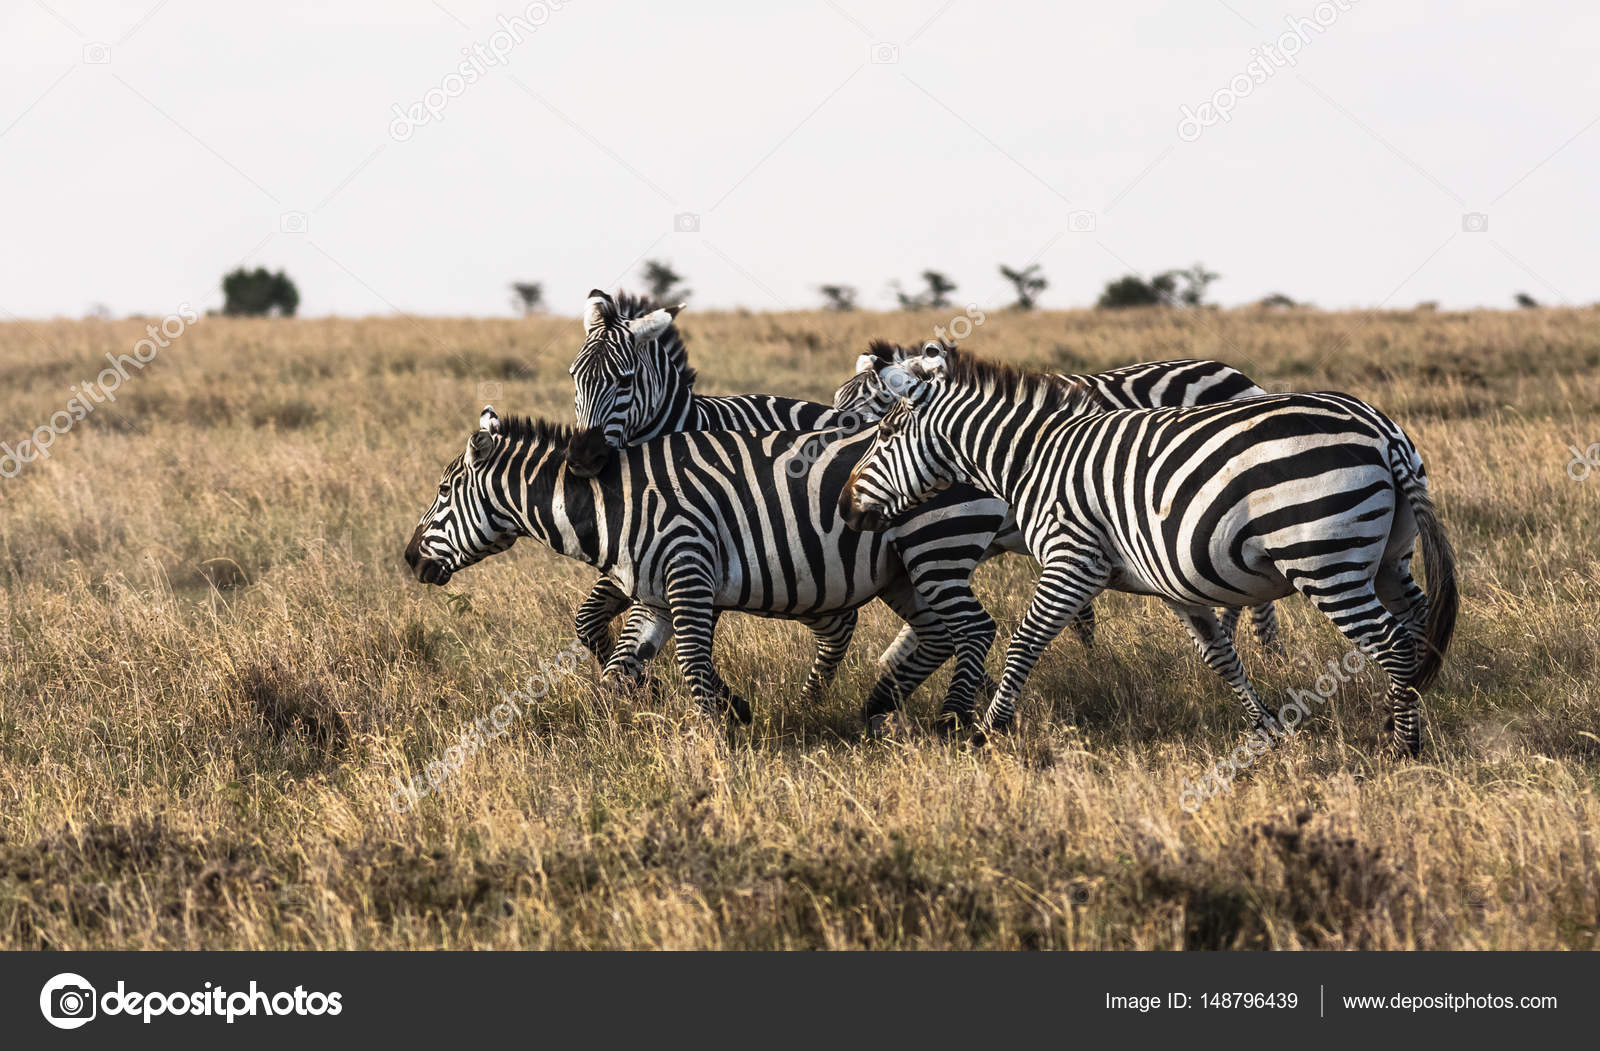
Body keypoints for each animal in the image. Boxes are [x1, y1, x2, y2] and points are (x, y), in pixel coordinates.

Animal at [404, 408, 968, 725]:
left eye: (442, 490)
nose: (408, 559)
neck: (616, 504)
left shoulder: (689, 570)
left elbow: (691, 663)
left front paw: (715, 740)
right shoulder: (656, 590)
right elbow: (619, 667)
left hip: (937, 543)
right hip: (902, 572)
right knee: (937, 634)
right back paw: (880, 708)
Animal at [564, 290, 1011, 725]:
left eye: (625, 381)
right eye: (574, 377)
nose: (583, 457)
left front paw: (699, 697)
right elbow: (589, 620)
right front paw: (642, 683)